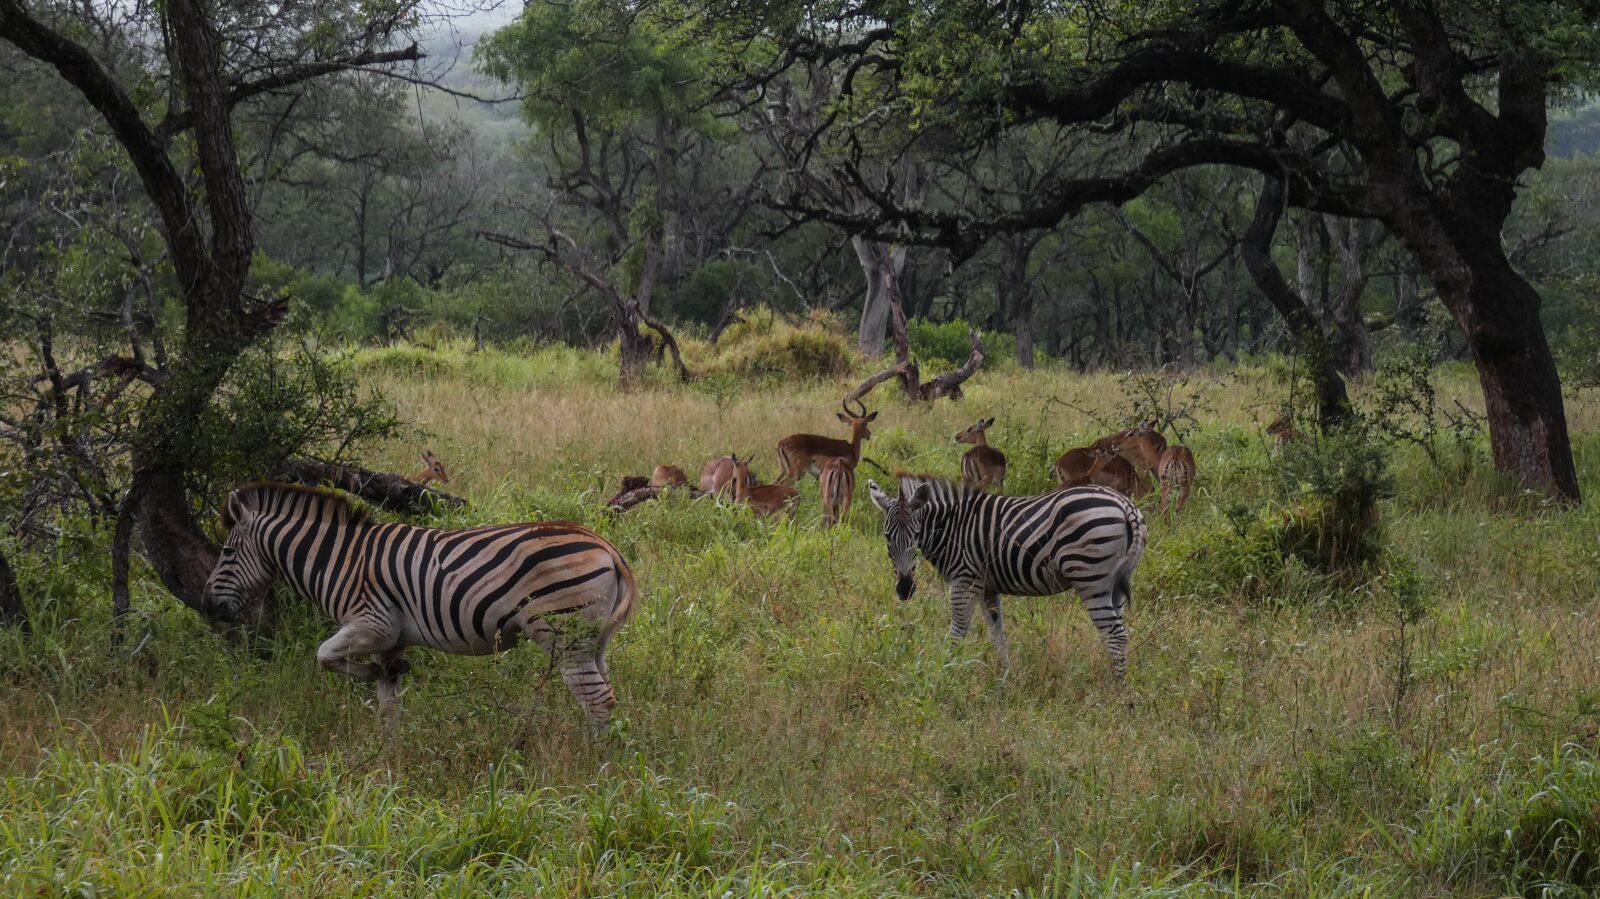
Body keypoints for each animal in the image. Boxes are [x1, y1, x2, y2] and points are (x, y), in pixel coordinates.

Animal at [202, 482, 637, 733]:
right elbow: (387, 705)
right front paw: (387, 762)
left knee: (596, 700)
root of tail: (608, 547)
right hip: (592, 640)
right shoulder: (389, 640)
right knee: (605, 692)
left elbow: (323, 655)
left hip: (563, 634)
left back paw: (590, 768)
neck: (340, 560)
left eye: (226, 553)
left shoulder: (371, 624)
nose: (207, 607)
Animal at [867, 475, 1147, 677]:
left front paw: (945, 673)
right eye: (887, 537)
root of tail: (1125, 505)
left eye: (915, 535)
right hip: (1114, 584)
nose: (904, 589)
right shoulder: (987, 587)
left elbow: (957, 632)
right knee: (1116, 633)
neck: (951, 528)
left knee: (1115, 635)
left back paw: (1116, 690)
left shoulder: (964, 579)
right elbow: (997, 635)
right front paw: (1005, 678)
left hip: (1090, 578)